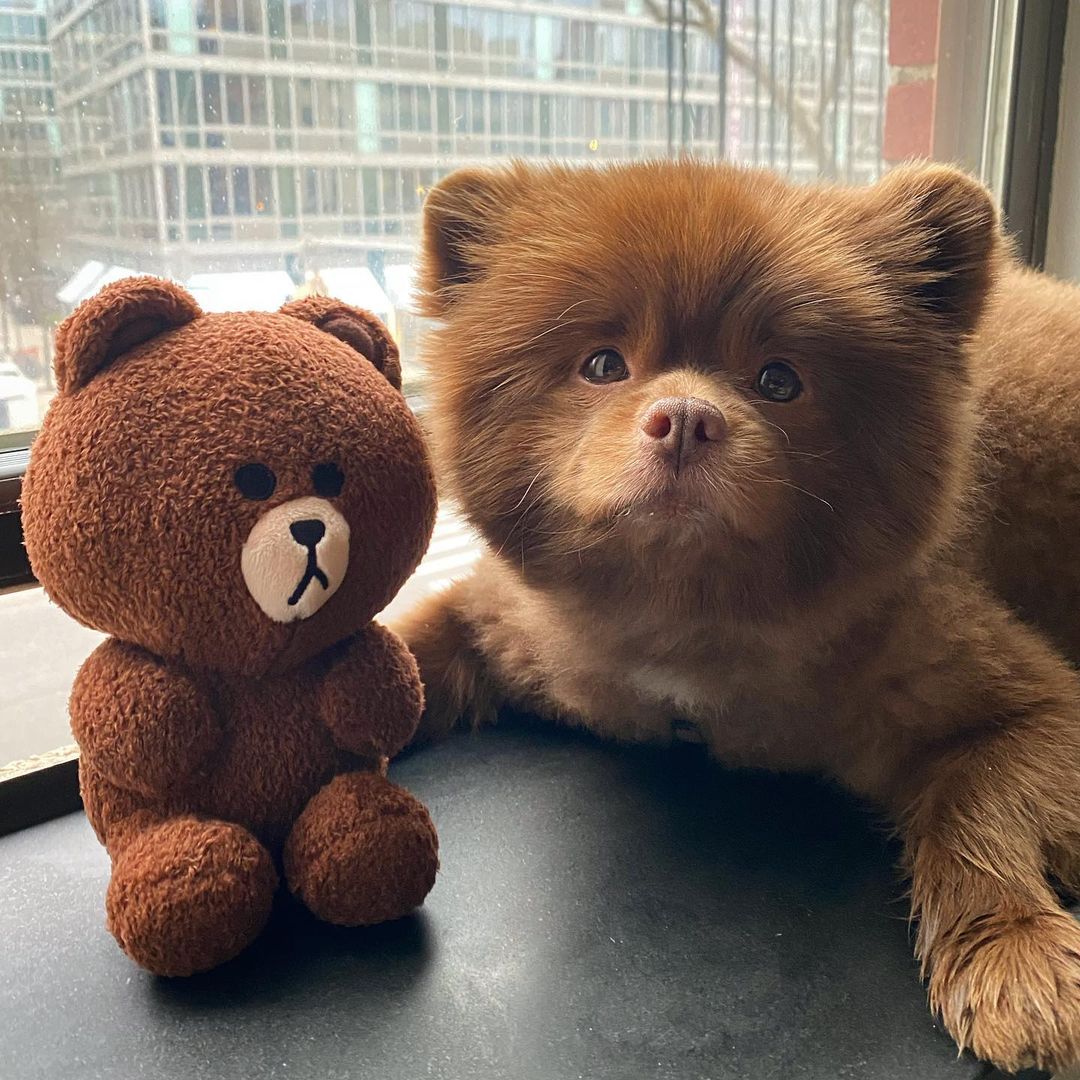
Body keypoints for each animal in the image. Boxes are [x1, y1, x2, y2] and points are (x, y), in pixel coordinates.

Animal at [395, 162, 1080, 1071]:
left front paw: (1016, 953)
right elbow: (399, 658)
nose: (686, 417)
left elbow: (980, 805)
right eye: (603, 365)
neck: (689, 632)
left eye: (779, 380)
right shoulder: (513, 624)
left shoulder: (1017, 694)